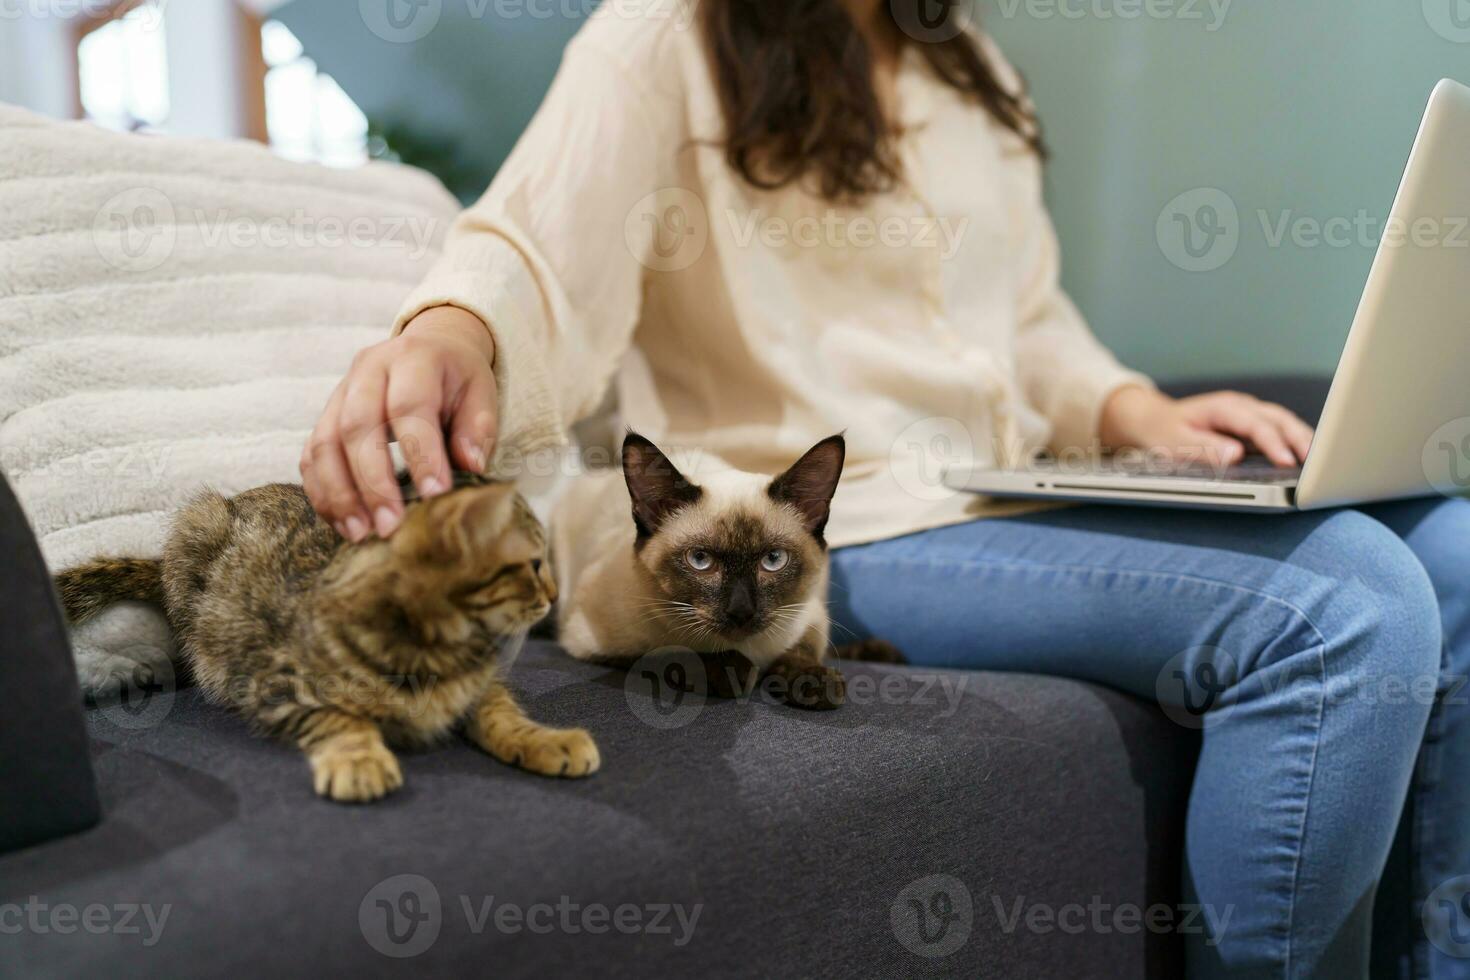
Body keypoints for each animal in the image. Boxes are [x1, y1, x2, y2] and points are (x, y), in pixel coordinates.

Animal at [57, 476, 596, 805]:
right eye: (532, 564)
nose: (555, 595)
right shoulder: (274, 680)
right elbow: (336, 716)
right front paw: (359, 757)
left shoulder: (481, 682)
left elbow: (501, 709)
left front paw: (546, 740)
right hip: (197, 526)